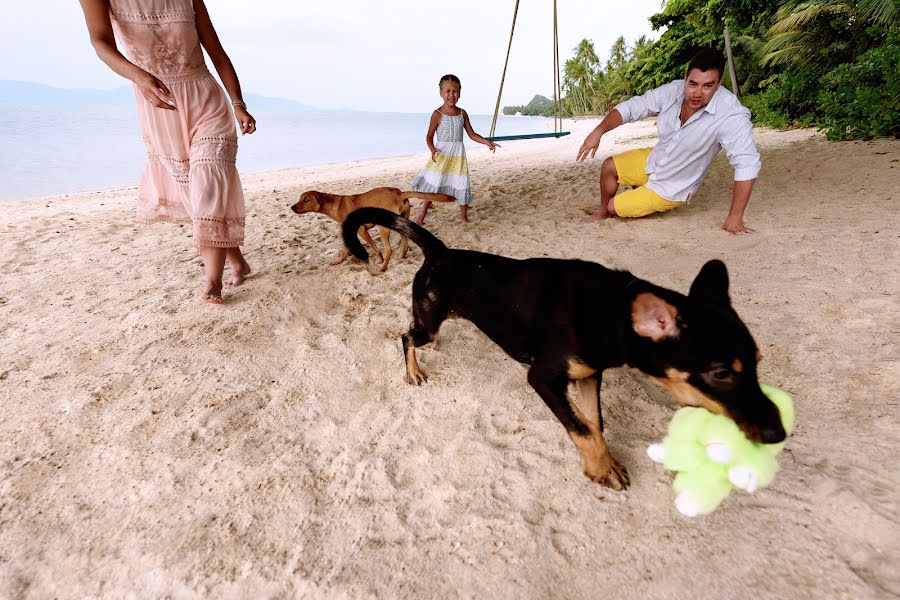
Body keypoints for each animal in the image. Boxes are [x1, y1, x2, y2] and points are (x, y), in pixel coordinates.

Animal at [290, 188, 458, 272]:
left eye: (306, 200)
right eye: (300, 199)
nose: (292, 207)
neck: (335, 205)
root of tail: (398, 192)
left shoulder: (361, 231)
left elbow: (374, 247)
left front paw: (379, 260)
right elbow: (344, 249)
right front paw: (337, 261)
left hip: (383, 228)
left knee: (389, 249)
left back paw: (383, 267)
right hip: (400, 222)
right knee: (405, 243)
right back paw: (401, 256)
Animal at [342, 209, 784, 490]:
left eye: (758, 363)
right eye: (720, 373)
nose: (778, 433)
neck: (607, 312)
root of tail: (440, 251)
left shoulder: (588, 375)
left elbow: (594, 424)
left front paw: (604, 462)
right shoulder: (542, 378)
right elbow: (582, 429)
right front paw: (601, 470)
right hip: (429, 323)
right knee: (405, 337)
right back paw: (413, 372)